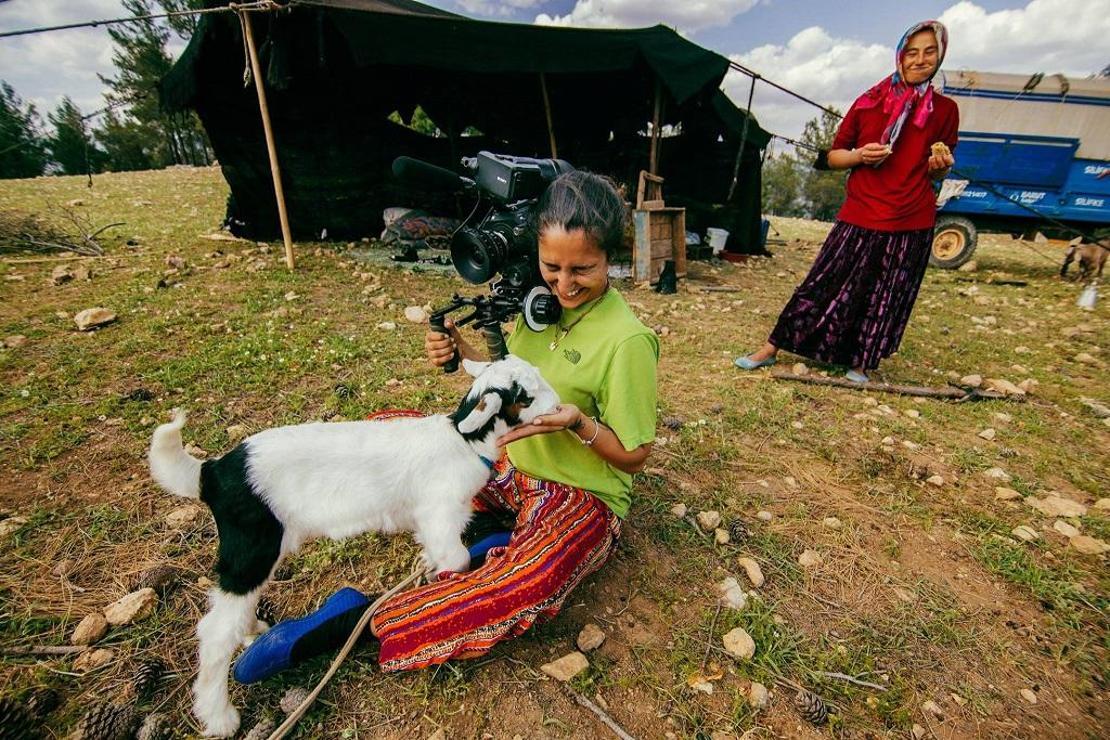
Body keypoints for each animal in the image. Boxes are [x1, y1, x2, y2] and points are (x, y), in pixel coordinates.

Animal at [149, 355, 555, 736]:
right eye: (526, 396)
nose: (558, 403)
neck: (463, 440)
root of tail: (213, 473)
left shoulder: (428, 519)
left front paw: (428, 567)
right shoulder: (440, 511)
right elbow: (455, 558)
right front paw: (442, 578)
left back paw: (252, 633)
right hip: (251, 548)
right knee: (215, 631)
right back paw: (219, 716)